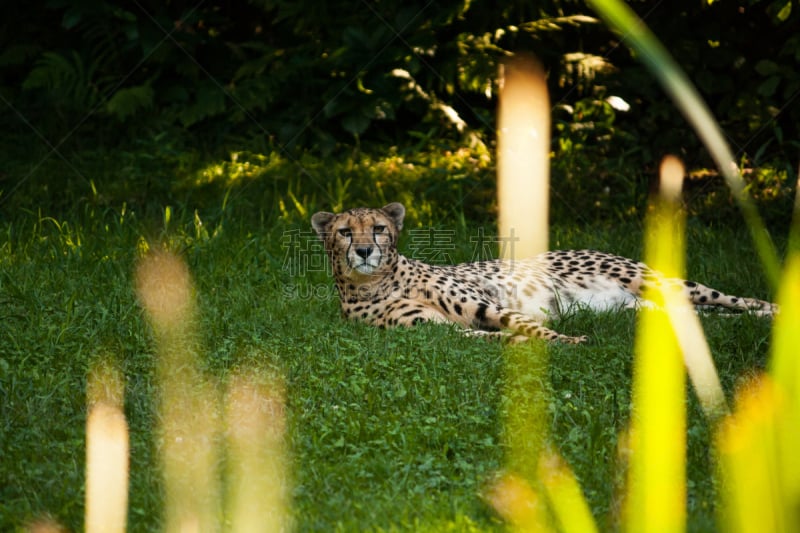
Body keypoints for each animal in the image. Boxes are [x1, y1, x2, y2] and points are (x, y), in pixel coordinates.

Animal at [310, 202, 776, 342]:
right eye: (346, 232)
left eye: (379, 229)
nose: (365, 250)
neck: (376, 284)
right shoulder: (437, 332)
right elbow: (492, 337)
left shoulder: (488, 306)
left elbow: (530, 326)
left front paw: (567, 341)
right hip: (644, 308)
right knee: (703, 317)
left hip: (655, 280)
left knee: (733, 299)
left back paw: (774, 310)